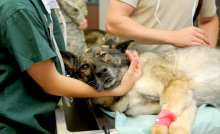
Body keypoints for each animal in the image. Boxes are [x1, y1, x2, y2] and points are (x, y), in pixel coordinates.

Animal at [61, 40, 220, 134]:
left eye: (103, 54)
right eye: (84, 66)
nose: (101, 71)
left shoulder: (176, 85)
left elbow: (165, 122)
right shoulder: (186, 101)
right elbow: (174, 122)